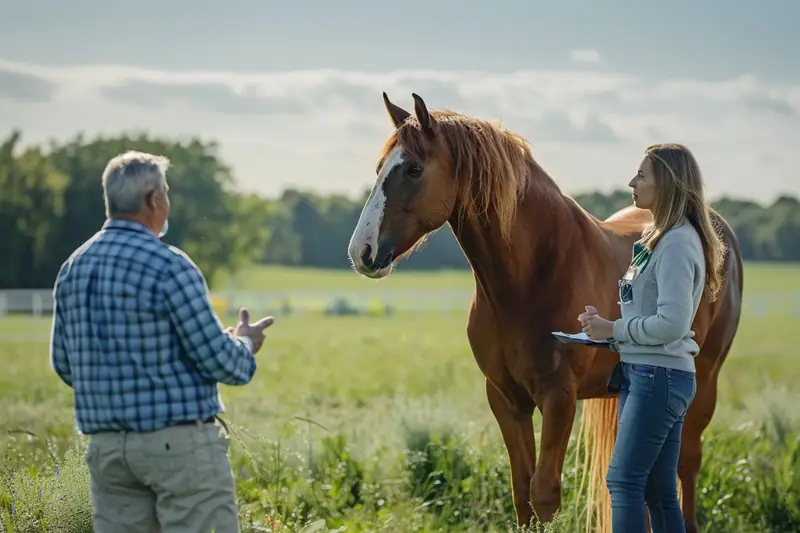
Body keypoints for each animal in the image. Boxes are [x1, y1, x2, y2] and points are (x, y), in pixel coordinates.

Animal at [345, 92, 744, 533]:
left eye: (414, 169)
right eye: (381, 169)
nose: (361, 252)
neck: (529, 277)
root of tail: (713, 226)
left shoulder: (559, 397)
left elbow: (544, 494)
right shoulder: (506, 399)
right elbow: (523, 493)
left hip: (704, 379)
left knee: (686, 463)